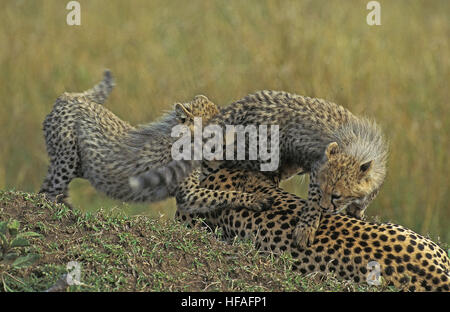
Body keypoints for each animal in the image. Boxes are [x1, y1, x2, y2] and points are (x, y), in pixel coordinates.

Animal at [133, 91, 386, 249]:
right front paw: (306, 228)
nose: (327, 207)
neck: (357, 150)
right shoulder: (318, 169)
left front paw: (357, 213)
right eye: (327, 193)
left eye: (337, 195)